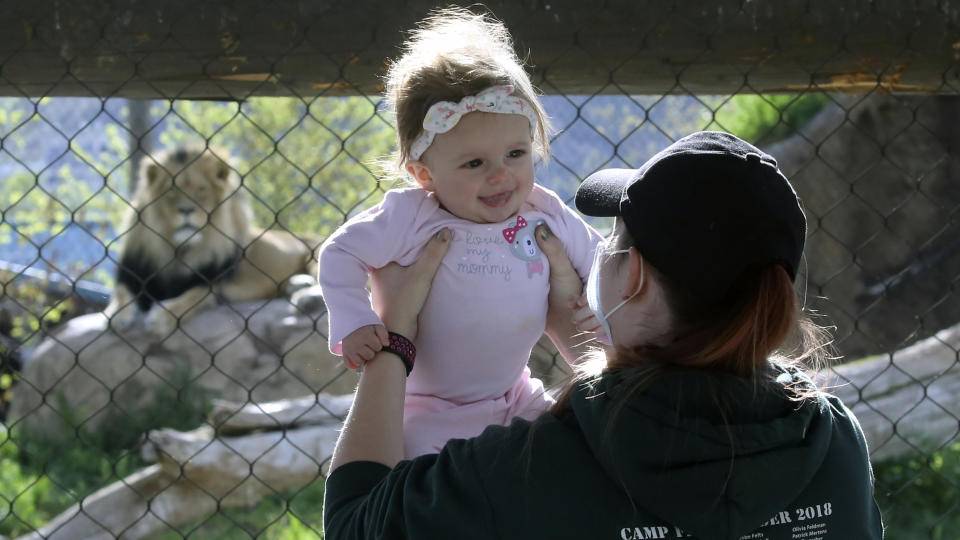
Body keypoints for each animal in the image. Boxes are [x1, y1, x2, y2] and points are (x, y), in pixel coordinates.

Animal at [104, 146, 320, 336]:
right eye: (171, 191)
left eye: (202, 189)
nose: (186, 210)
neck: (178, 249)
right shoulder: (134, 271)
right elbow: (121, 292)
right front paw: (117, 316)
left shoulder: (214, 284)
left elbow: (192, 296)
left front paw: (162, 318)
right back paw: (299, 284)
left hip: (315, 251)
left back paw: (307, 297)